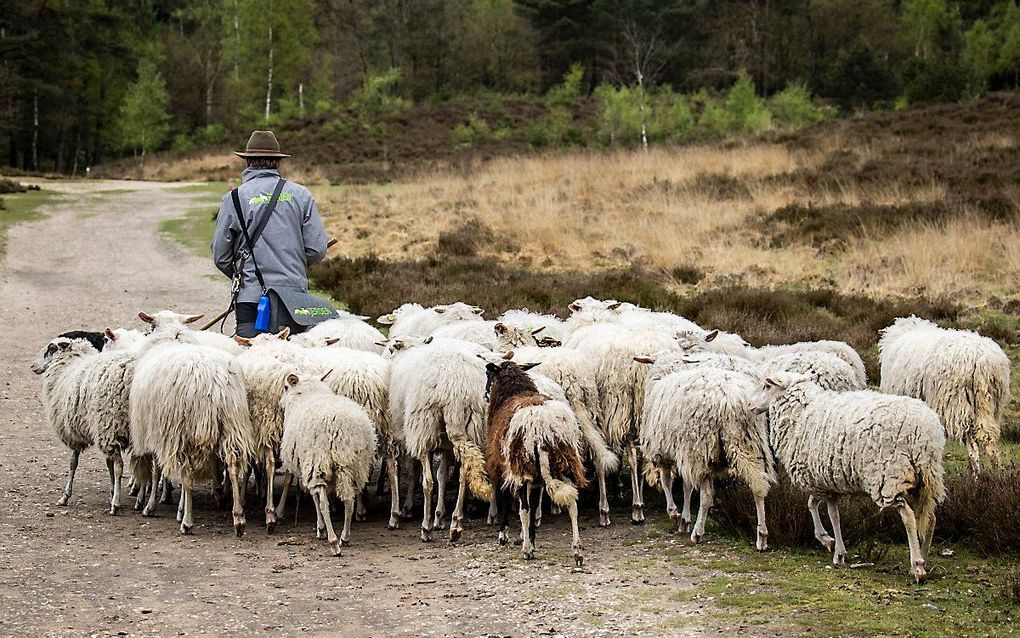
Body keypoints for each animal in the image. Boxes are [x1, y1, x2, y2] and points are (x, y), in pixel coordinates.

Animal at [277, 371, 377, 555]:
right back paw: (345, 537)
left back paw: (333, 541)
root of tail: (341, 427)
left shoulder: (308, 468)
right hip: (354, 464)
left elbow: (317, 500)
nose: (280, 404)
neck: (309, 393)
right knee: (349, 500)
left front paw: (320, 528)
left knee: (324, 503)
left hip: (318, 462)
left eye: (286, 387)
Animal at [758, 371, 946, 583]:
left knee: (908, 516)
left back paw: (917, 566)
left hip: (889, 476)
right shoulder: (823, 480)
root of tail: (926, 433)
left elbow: (832, 514)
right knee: (930, 518)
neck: (801, 413)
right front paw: (827, 540)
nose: (751, 406)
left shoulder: (818, 479)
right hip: (926, 477)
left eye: (767, 386)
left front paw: (837, 552)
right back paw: (924, 556)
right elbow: (814, 505)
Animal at [877, 314, 1011, 473]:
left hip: (957, 404)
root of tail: (981, 359)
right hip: (989, 403)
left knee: (972, 443)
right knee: (988, 437)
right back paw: (993, 472)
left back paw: (976, 473)